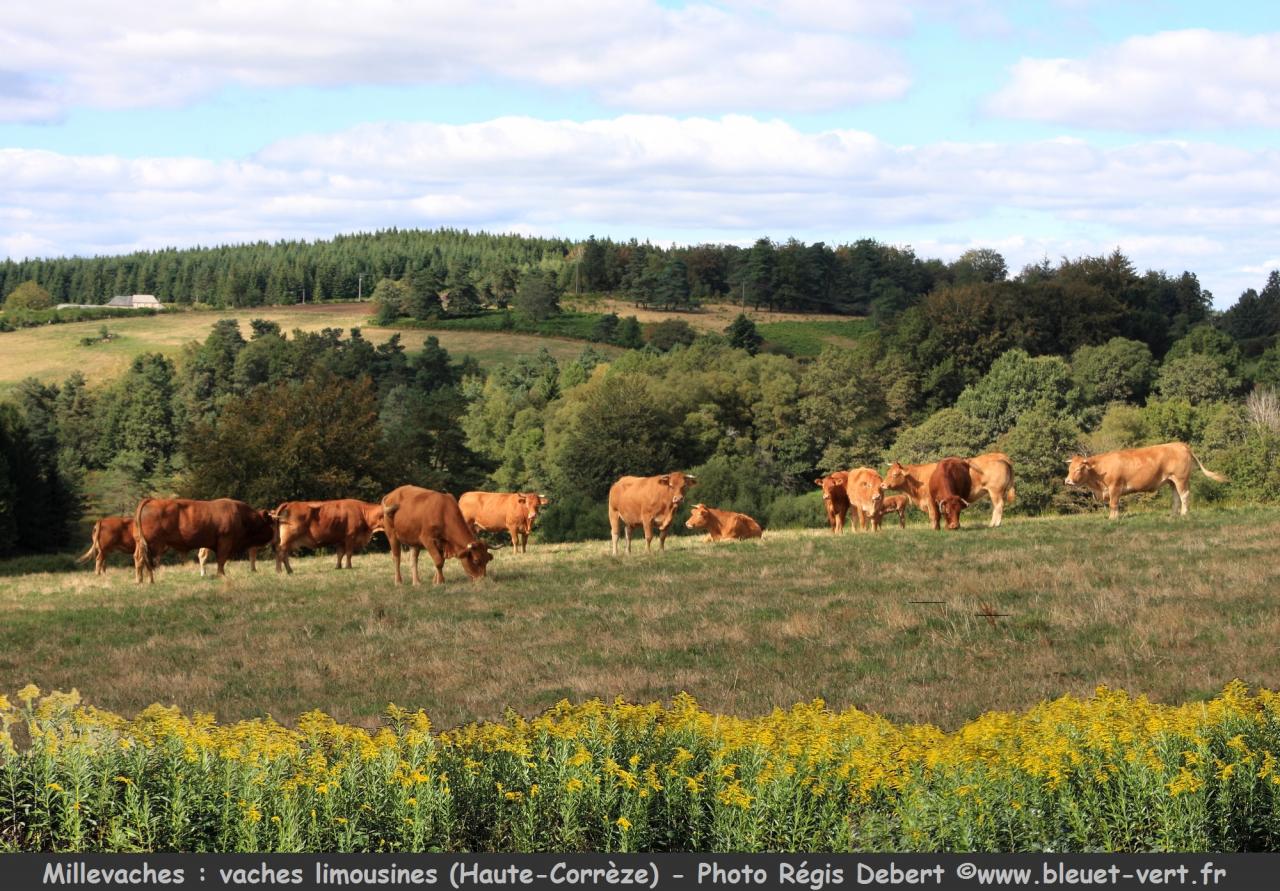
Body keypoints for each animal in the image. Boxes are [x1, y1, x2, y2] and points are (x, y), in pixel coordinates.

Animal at [133, 498, 275, 583]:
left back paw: (144, 580)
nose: (274, 535)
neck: (241, 515)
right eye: (270, 522)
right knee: (143, 559)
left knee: (141, 559)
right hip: (151, 543)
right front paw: (221, 575)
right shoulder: (225, 541)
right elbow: (221, 560)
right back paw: (145, 581)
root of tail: (153, 500)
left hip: (143, 543)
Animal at [881, 453, 1017, 528]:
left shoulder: (930, 501)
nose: (882, 485)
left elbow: (934, 516)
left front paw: (935, 528)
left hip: (995, 491)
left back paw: (994, 524)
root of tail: (999, 455)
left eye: (894, 474)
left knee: (999, 506)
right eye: (887, 472)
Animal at [1065, 442, 1227, 519]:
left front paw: (1113, 518)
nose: (1067, 481)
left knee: (1184, 496)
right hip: (1172, 481)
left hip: (1181, 479)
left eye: (1078, 469)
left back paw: (1183, 514)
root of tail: (1180, 444)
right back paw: (1173, 515)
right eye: (1069, 468)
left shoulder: (1115, 488)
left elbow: (1113, 504)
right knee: (1176, 497)